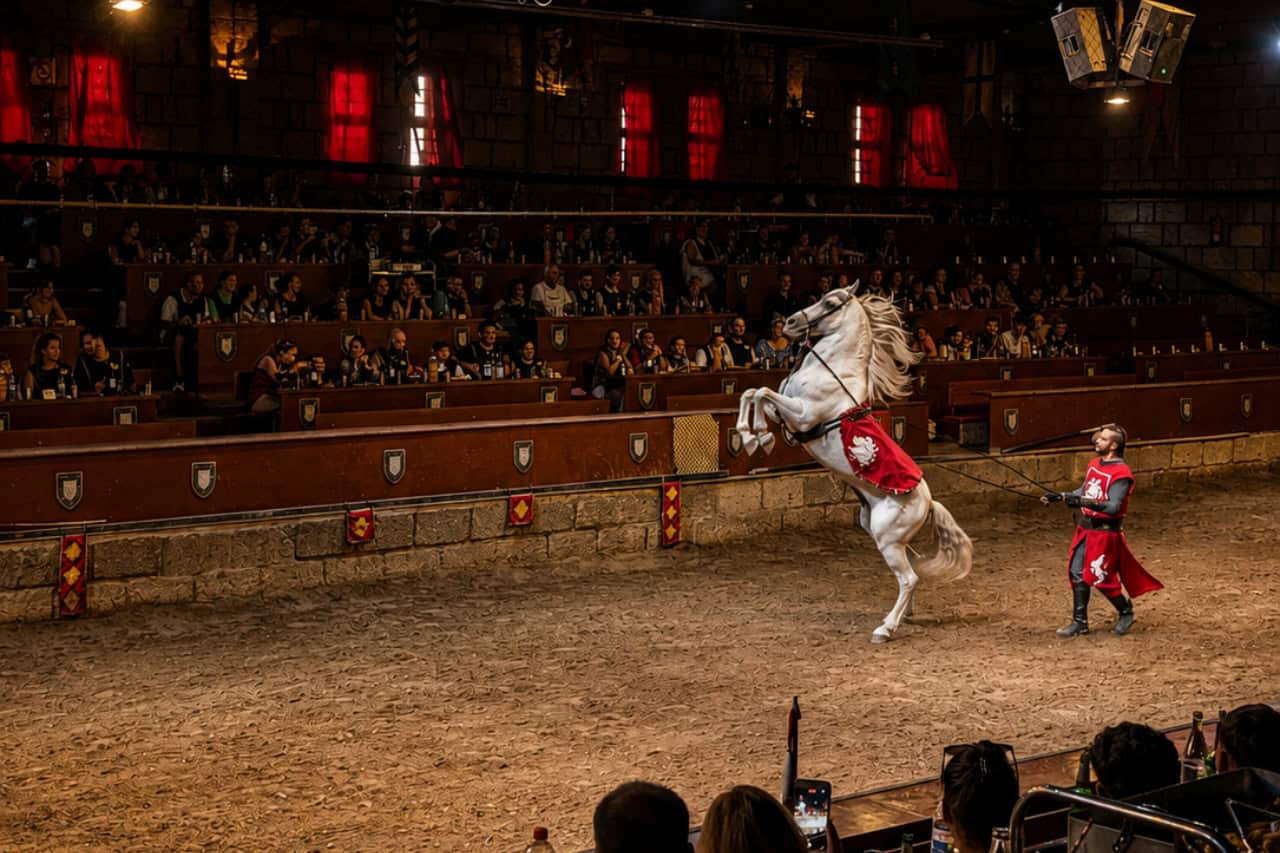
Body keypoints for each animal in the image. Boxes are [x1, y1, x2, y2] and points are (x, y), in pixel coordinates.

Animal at [735, 286, 973, 643]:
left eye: (830, 303)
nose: (789, 322)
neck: (833, 371)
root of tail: (929, 502)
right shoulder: (784, 413)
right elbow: (751, 393)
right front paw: (755, 437)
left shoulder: (802, 415)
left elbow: (760, 391)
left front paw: (756, 438)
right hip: (887, 536)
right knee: (912, 572)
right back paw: (906, 616)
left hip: (887, 538)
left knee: (909, 579)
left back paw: (886, 628)